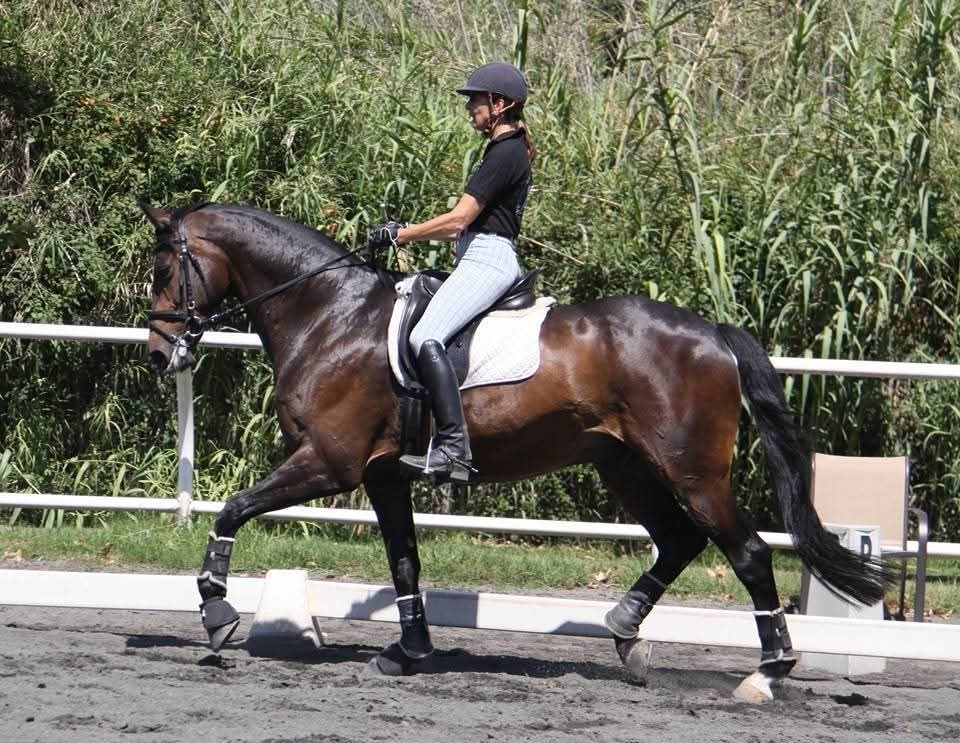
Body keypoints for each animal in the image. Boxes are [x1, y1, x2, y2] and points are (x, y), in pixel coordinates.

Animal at [141, 201, 890, 702]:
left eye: (163, 269)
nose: (158, 355)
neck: (330, 315)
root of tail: (711, 330)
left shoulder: (331, 461)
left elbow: (233, 508)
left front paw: (217, 614)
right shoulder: (383, 475)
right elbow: (404, 559)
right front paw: (409, 651)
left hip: (692, 469)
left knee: (749, 552)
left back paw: (766, 673)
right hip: (625, 465)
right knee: (679, 541)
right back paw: (626, 635)